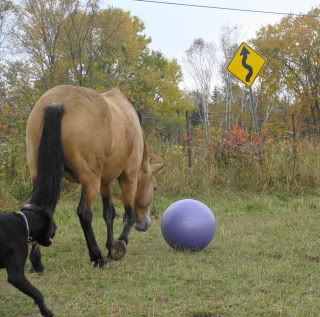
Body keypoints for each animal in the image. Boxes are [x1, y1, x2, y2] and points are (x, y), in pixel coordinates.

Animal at [26, 84, 164, 270]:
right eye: (154, 188)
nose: (144, 225)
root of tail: (57, 103)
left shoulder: (105, 182)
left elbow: (109, 213)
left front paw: (110, 246)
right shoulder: (129, 176)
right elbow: (128, 213)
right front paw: (119, 246)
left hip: (42, 176)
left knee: (39, 209)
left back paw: (37, 262)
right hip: (90, 181)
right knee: (85, 213)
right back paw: (97, 257)